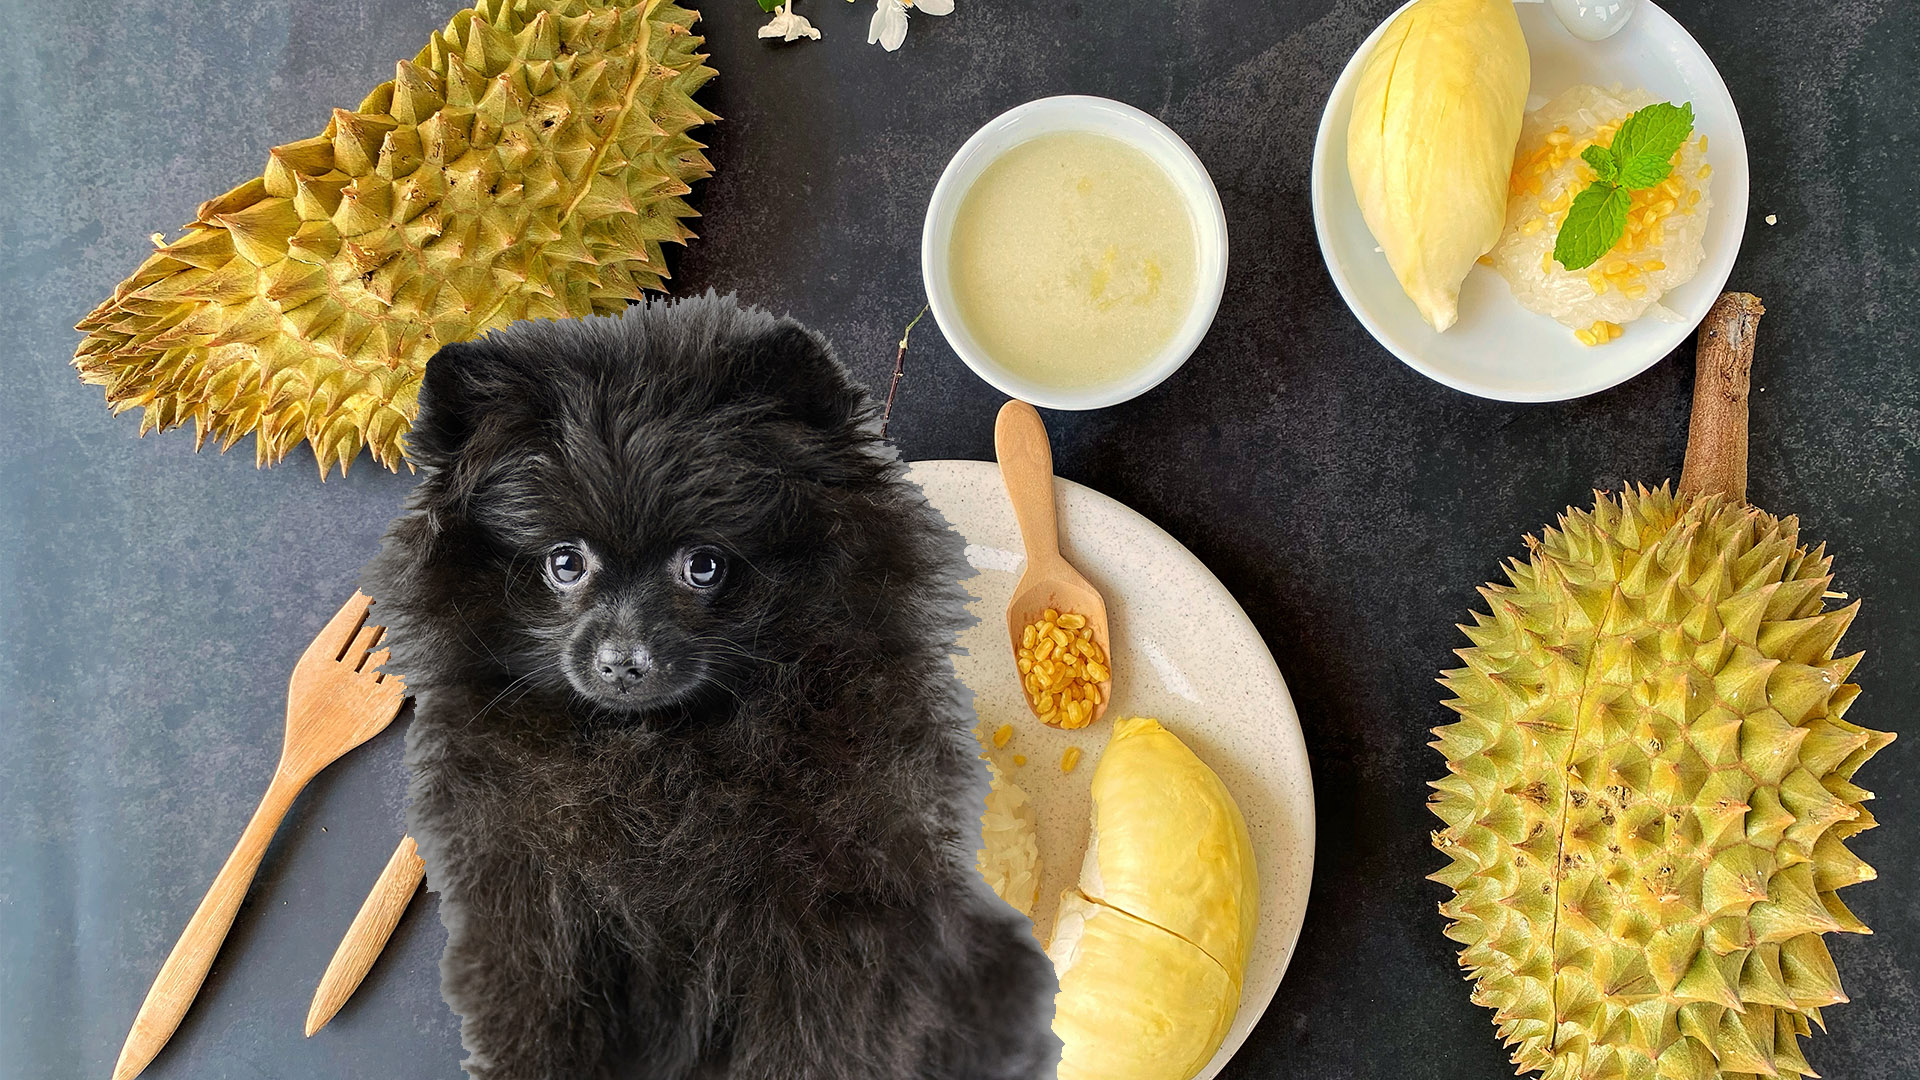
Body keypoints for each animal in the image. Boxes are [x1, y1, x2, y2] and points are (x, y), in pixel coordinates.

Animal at [362, 292, 1067, 1076]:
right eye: (565, 562)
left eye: (703, 564)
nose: (622, 660)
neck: (664, 758)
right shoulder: (530, 918)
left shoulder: (832, 920)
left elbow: (818, 1039)